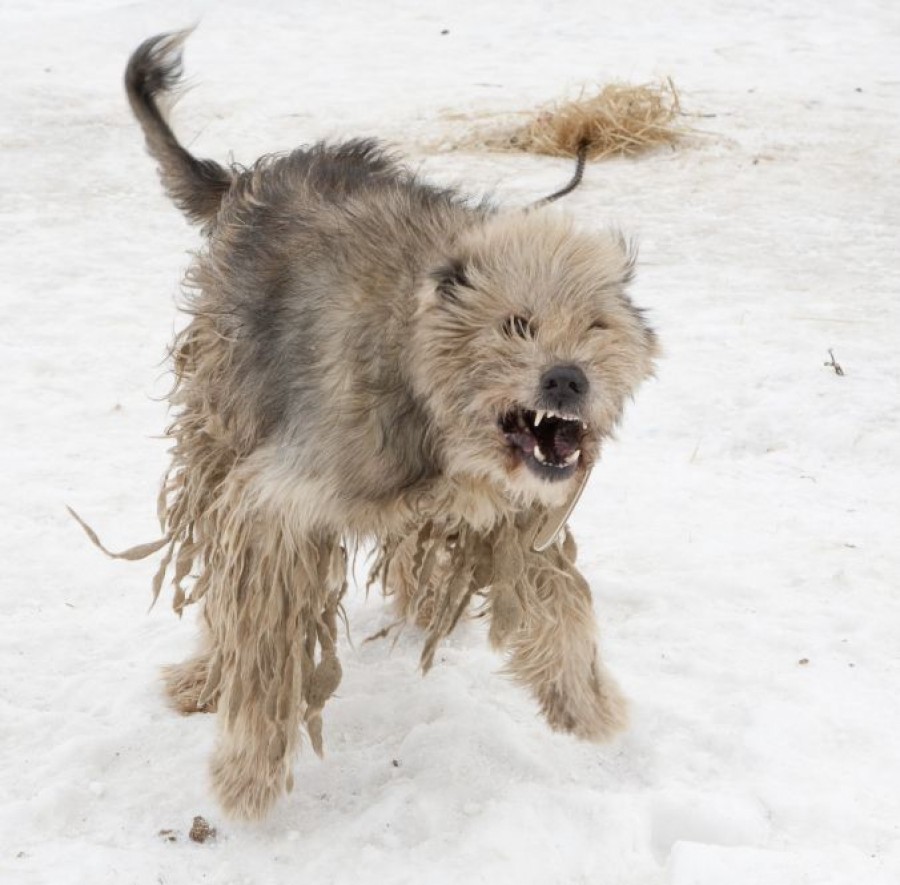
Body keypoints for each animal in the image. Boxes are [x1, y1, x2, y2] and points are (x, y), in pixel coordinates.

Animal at [119, 31, 656, 820]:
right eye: (516, 324)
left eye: (595, 325)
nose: (567, 378)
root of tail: (252, 179)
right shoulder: (276, 503)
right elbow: (264, 645)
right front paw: (248, 771)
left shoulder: (515, 515)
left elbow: (558, 602)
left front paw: (583, 700)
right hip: (222, 421)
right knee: (215, 568)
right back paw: (204, 677)